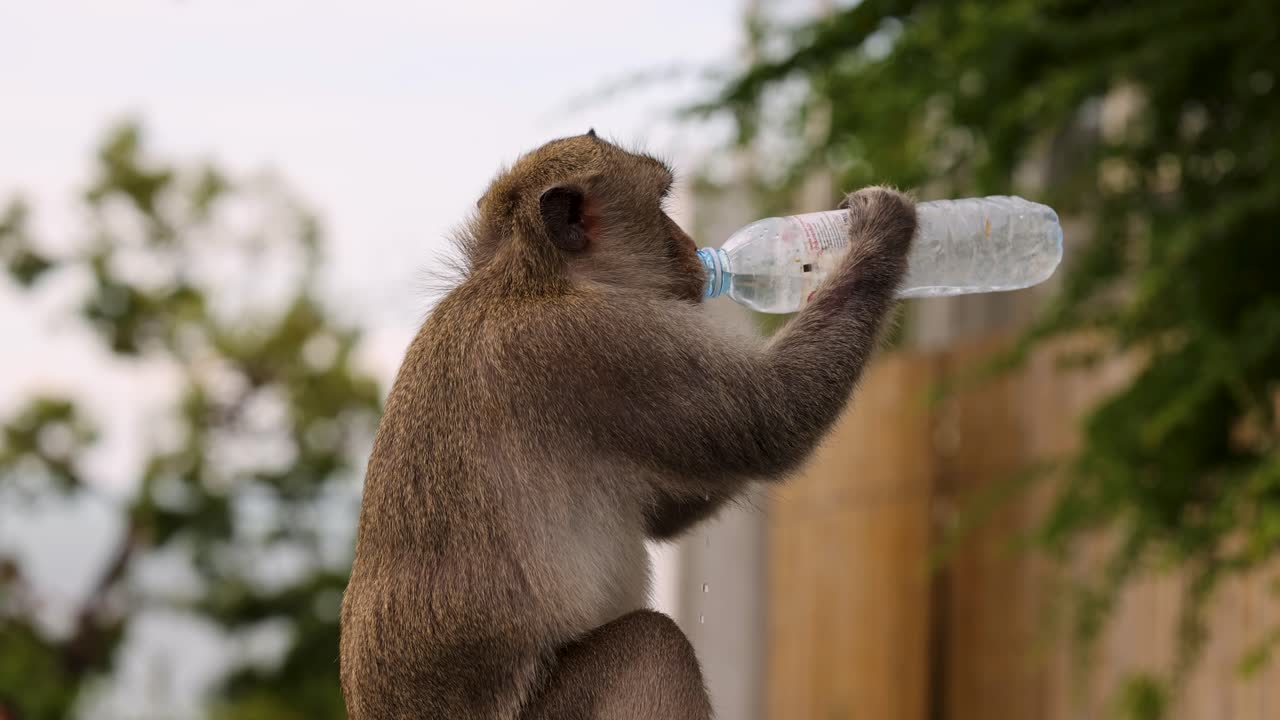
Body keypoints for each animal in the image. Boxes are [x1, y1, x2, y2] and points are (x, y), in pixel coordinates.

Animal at [338, 130, 917, 720]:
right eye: (660, 206)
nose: (689, 242)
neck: (530, 278)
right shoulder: (604, 341)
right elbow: (773, 418)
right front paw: (881, 232)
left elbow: (666, 512)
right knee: (650, 646)